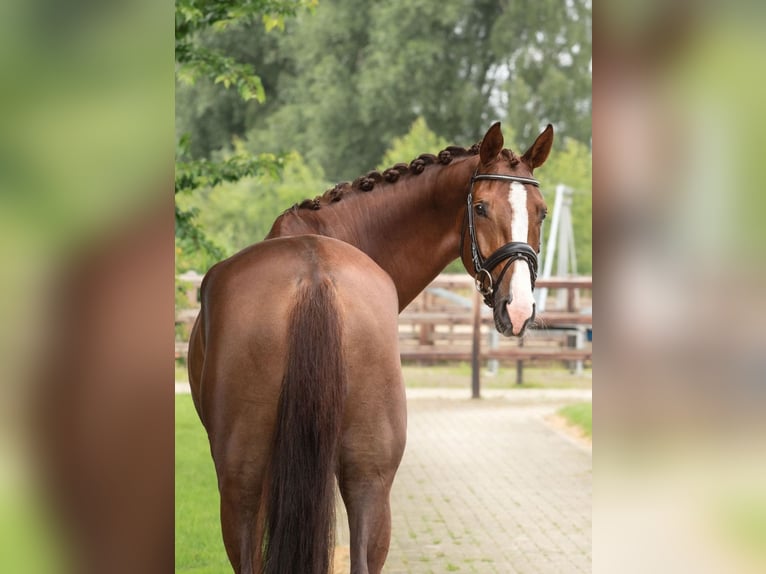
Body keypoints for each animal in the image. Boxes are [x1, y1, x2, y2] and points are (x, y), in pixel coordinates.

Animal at [189, 122, 556, 574]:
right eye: (482, 207)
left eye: (541, 211)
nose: (518, 308)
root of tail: (314, 274)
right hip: (369, 477)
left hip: (246, 481)